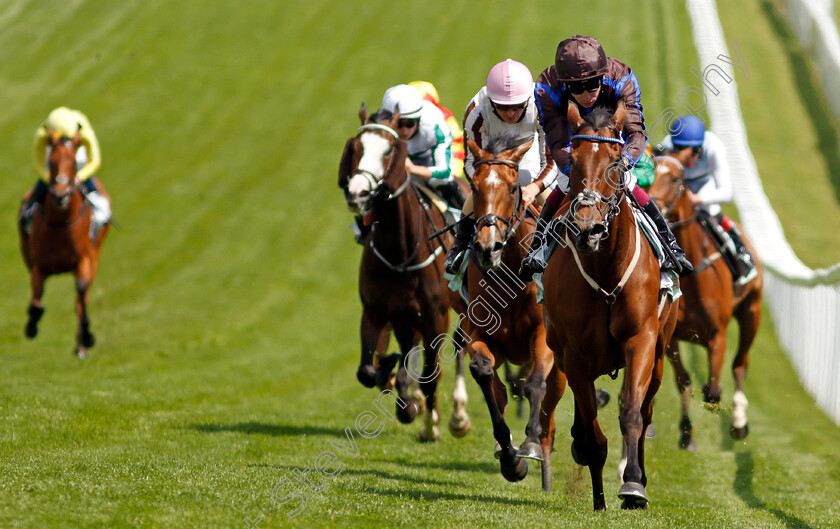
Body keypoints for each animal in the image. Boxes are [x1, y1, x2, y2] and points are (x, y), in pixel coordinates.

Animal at [18, 131, 110, 358]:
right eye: (51, 162)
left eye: (74, 163)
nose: (60, 195)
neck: (60, 225)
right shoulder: (38, 266)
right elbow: (36, 304)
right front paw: (31, 326)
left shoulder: (84, 260)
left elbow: (81, 292)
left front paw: (87, 336)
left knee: (81, 298)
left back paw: (81, 344)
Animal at [342, 104, 472, 442]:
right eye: (356, 147)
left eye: (390, 149)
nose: (358, 193)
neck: (400, 252)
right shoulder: (376, 311)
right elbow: (368, 371)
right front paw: (402, 394)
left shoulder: (436, 317)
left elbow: (430, 375)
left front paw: (427, 422)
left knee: (461, 345)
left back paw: (457, 415)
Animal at [462, 137, 568, 490]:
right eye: (474, 186)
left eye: (511, 188)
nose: (488, 247)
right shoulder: (479, 333)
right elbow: (483, 373)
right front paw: (510, 457)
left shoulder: (543, 336)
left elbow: (535, 383)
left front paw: (530, 444)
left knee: (550, 402)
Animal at [540, 101, 680, 510]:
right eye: (573, 159)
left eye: (616, 162)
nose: (588, 230)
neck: (605, 270)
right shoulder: (574, 355)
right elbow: (593, 434)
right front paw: (600, 499)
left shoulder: (641, 341)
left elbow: (631, 412)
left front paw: (632, 485)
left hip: (661, 353)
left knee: (646, 410)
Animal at [648, 154, 764, 450]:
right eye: (649, 172)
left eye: (676, 179)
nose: (654, 207)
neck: (692, 277)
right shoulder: (671, 337)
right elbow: (683, 381)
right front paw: (686, 433)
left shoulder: (717, 335)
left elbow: (712, 390)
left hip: (751, 312)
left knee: (740, 363)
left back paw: (739, 422)